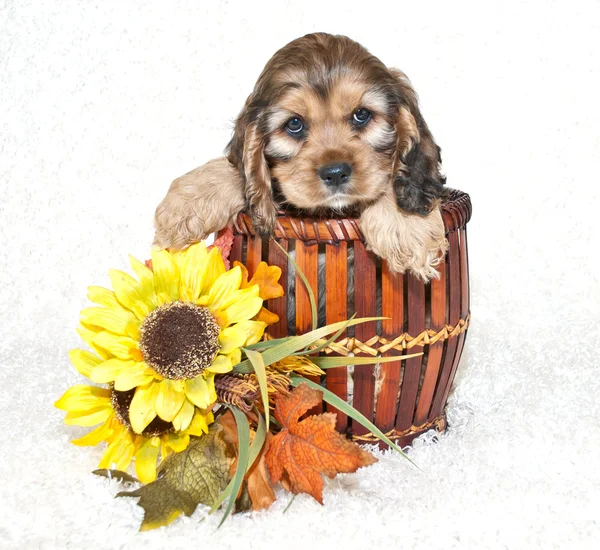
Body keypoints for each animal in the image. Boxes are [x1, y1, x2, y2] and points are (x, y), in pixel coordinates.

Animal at [155, 32, 450, 280]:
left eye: (362, 114)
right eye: (294, 124)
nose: (335, 173)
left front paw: (407, 227)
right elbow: (238, 171)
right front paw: (184, 203)